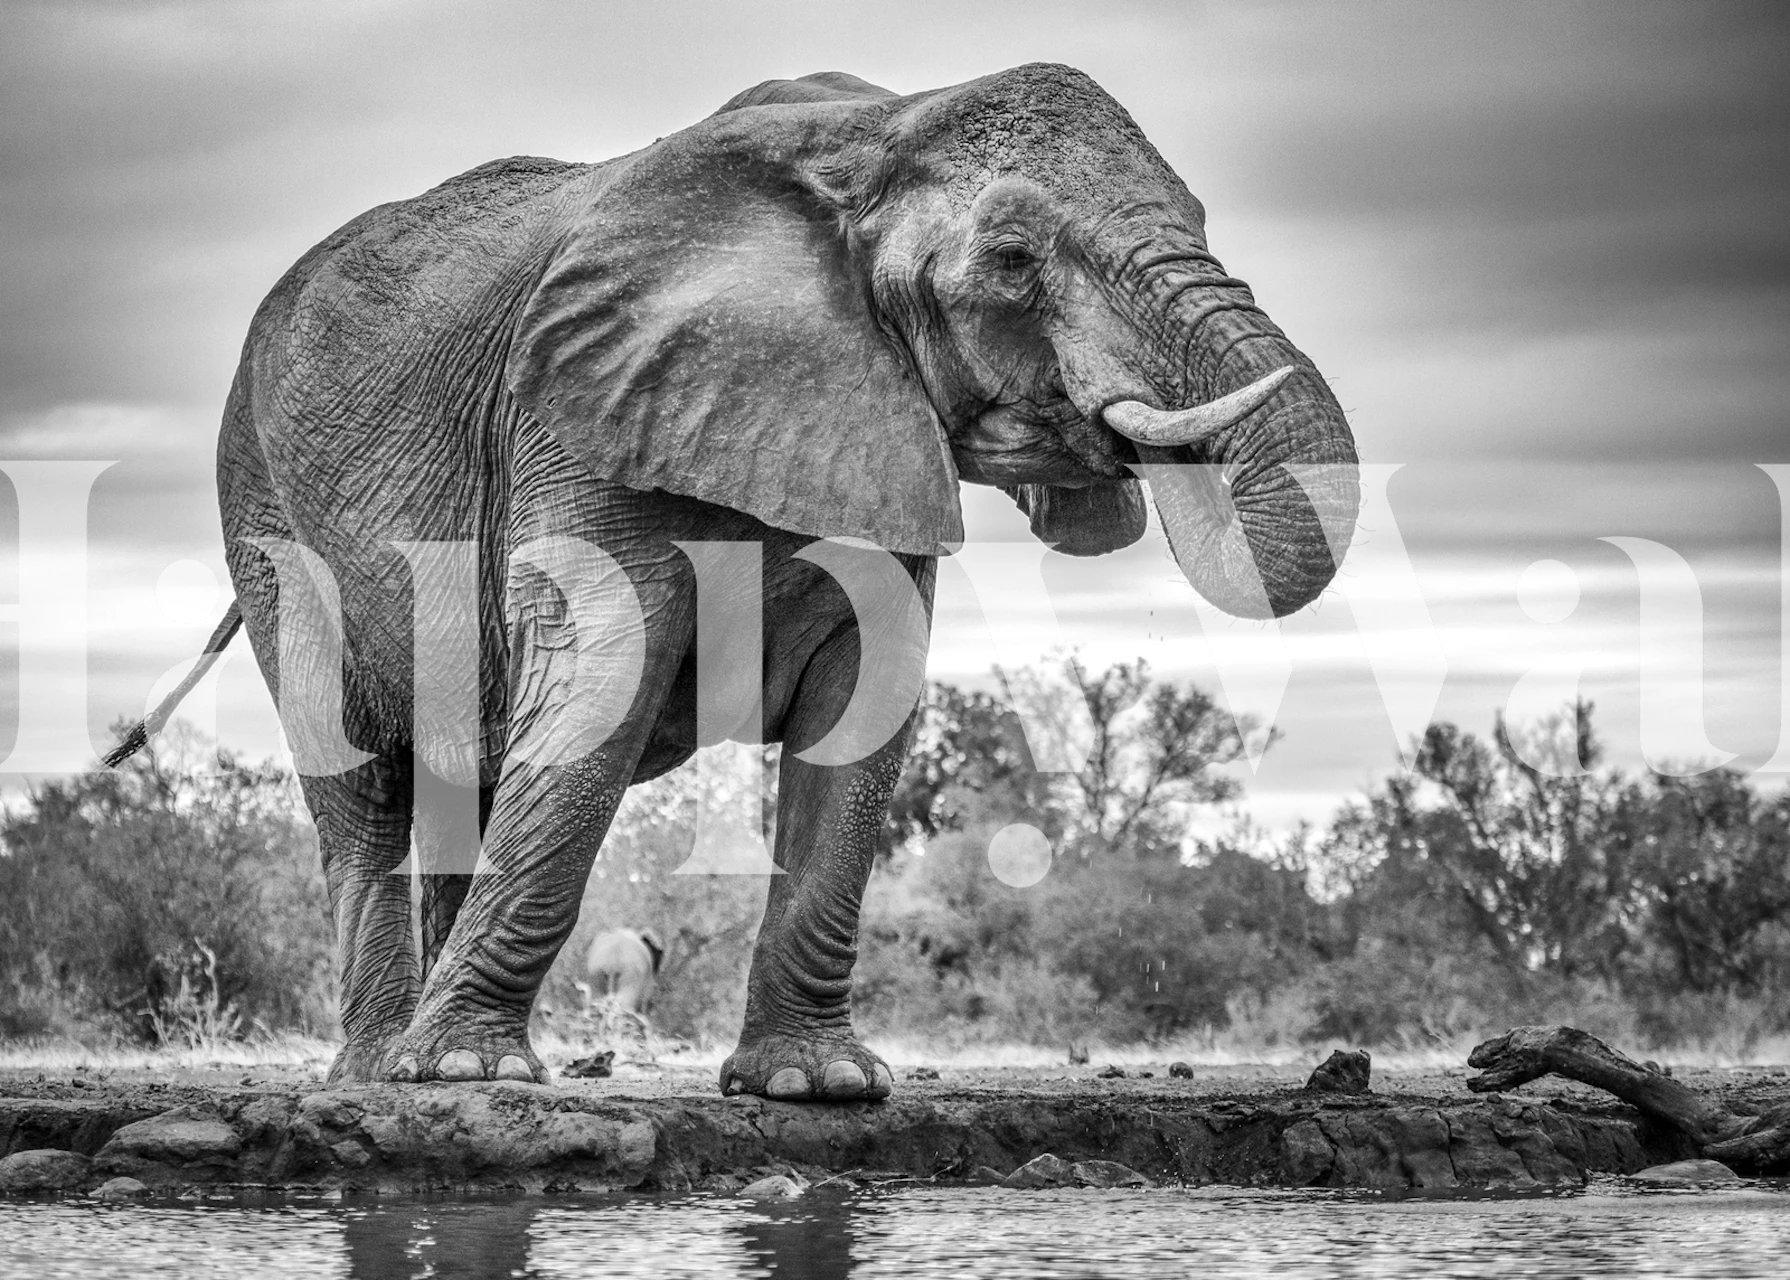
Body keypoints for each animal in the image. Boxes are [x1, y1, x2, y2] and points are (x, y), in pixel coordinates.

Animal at [124, 63, 1357, 1100]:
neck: (879, 129)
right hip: (263, 505)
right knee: (359, 778)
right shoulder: (576, 415)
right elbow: (594, 690)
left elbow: (866, 708)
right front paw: (468, 1076)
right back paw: (387, 1070)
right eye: (1013, 258)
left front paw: (816, 1085)